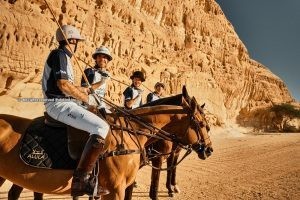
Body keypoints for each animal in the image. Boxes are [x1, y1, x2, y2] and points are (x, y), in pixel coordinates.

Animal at [0, 87, 212, 200]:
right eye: (202, 124)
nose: (209, 149)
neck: (133, 131)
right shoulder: (115, 189)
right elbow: (154, 185)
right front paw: (168, 190)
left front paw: (172, 188)